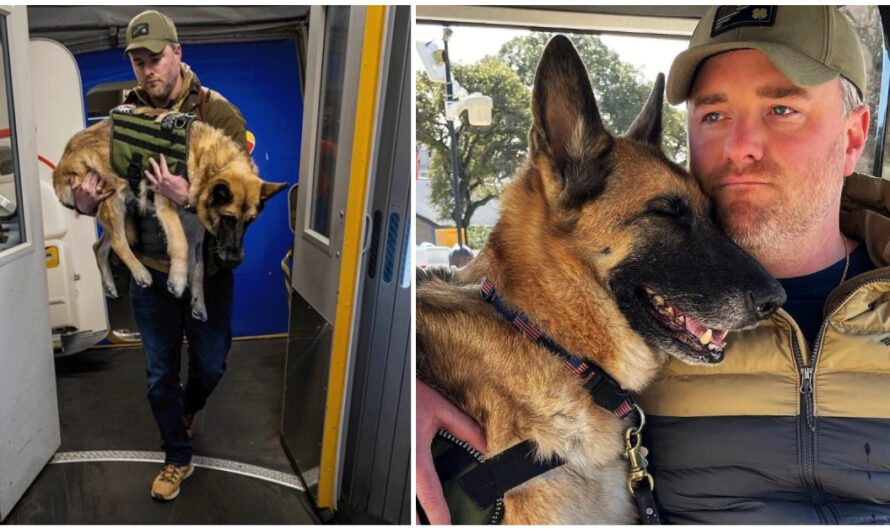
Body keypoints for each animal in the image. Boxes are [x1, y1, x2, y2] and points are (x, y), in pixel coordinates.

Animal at [53, 107, 282, 318]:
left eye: (249, 222)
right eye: (228, 219)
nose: (234, 260)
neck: (201, 159)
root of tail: (62, 161)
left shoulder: (196, 227)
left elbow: (198, 267)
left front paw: (198, 302)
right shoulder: (166, 207)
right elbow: (180, 243)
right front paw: (177, 280)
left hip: (120, 205)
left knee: (99, 246)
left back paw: (109, 283)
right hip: (114, 199)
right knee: (119, 243)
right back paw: (141, 273)